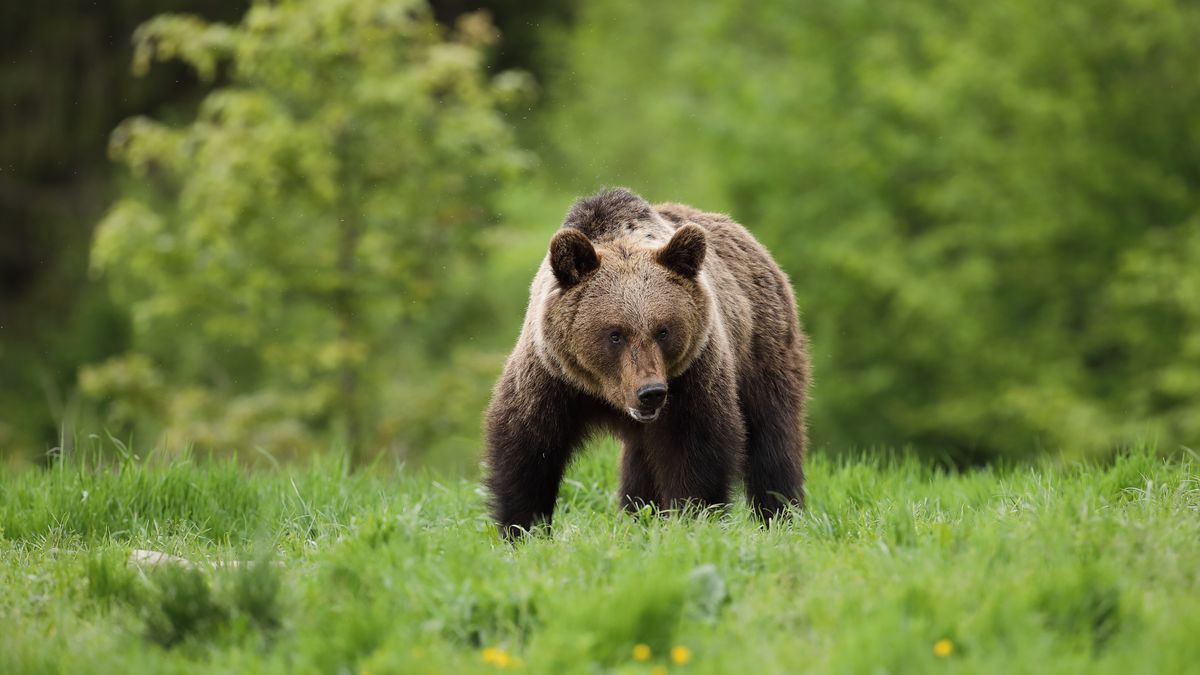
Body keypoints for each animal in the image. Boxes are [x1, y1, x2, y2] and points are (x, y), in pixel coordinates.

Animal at [484, 188, 809, 539]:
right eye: (615, 334)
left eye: (663, 330)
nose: (650, 392)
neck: (605, 392)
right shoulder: (552, 376)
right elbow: (528, 447)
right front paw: (521, 528)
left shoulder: (691, 377)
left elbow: (695, 449)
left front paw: (693, 519)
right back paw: (639, 515)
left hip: (761, 349)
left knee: (772, 436)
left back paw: (780, 514)